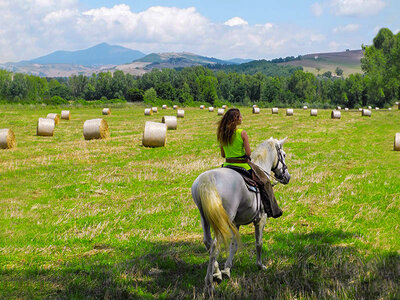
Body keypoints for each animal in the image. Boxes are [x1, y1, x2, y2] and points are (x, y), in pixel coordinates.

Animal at [191, 138, 290, 290]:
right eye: (283, 155)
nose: (287, 177)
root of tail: (208, 179)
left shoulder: (235, 223)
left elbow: (234, 244)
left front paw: (227, 269)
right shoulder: (261, 219)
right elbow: (258, 242)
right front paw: (260, 265)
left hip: (205, 218)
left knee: (208, 242)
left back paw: (217, 273)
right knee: (215, 245)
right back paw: (209, 281)